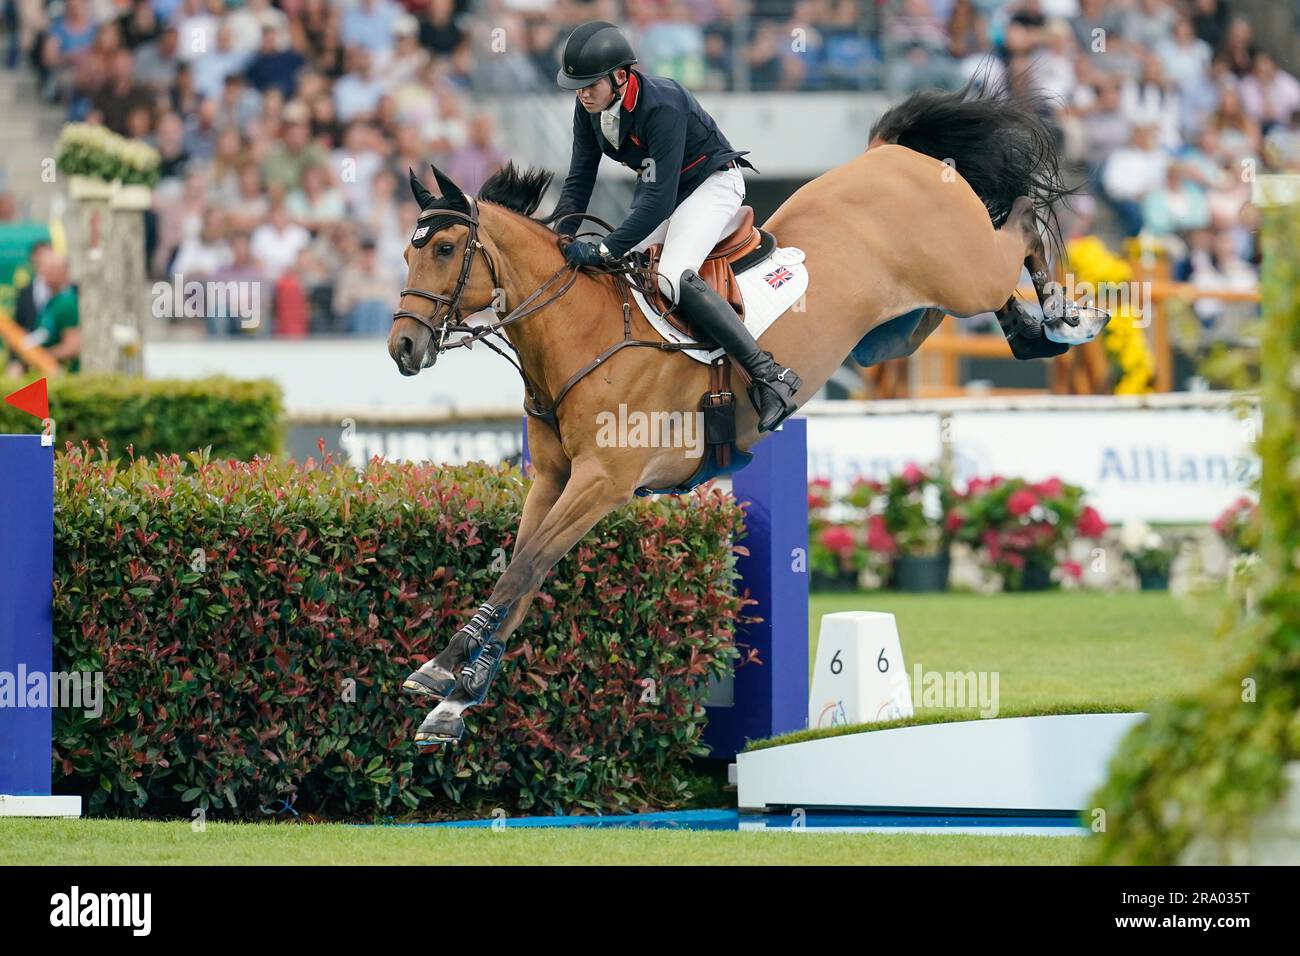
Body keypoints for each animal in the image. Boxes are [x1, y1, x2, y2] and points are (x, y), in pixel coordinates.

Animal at [390, 80, 1102, 749]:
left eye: (446, 249)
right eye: (406, 253)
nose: (403, 347)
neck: (579, 331)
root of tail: (889, 154)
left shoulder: (602, 482)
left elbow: (524, 568)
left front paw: (443, 669)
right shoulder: (554, 480)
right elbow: (523, 574)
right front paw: (456, 700)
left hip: (963, 272)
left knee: (1022, 223)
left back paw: (1068, 313)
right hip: (901, 326)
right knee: (981, 284)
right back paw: (1032, 333)